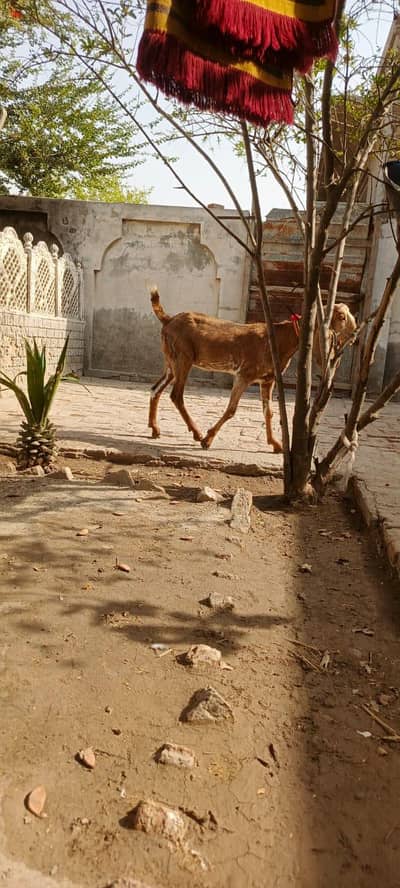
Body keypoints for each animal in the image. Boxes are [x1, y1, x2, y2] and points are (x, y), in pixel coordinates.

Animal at [148, 287, 356, 452]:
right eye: (342, 316)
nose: (354, 334)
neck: (280, 339)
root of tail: (168, 320)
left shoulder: (268, 380)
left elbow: (268, 412)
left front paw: (275, 444)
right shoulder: (244, 375)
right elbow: (231, 409)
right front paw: (208, 439)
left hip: (171, 361)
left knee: (155, 389)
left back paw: (154, 428)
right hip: (183, 358)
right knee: (176, 395)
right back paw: (197, 433)